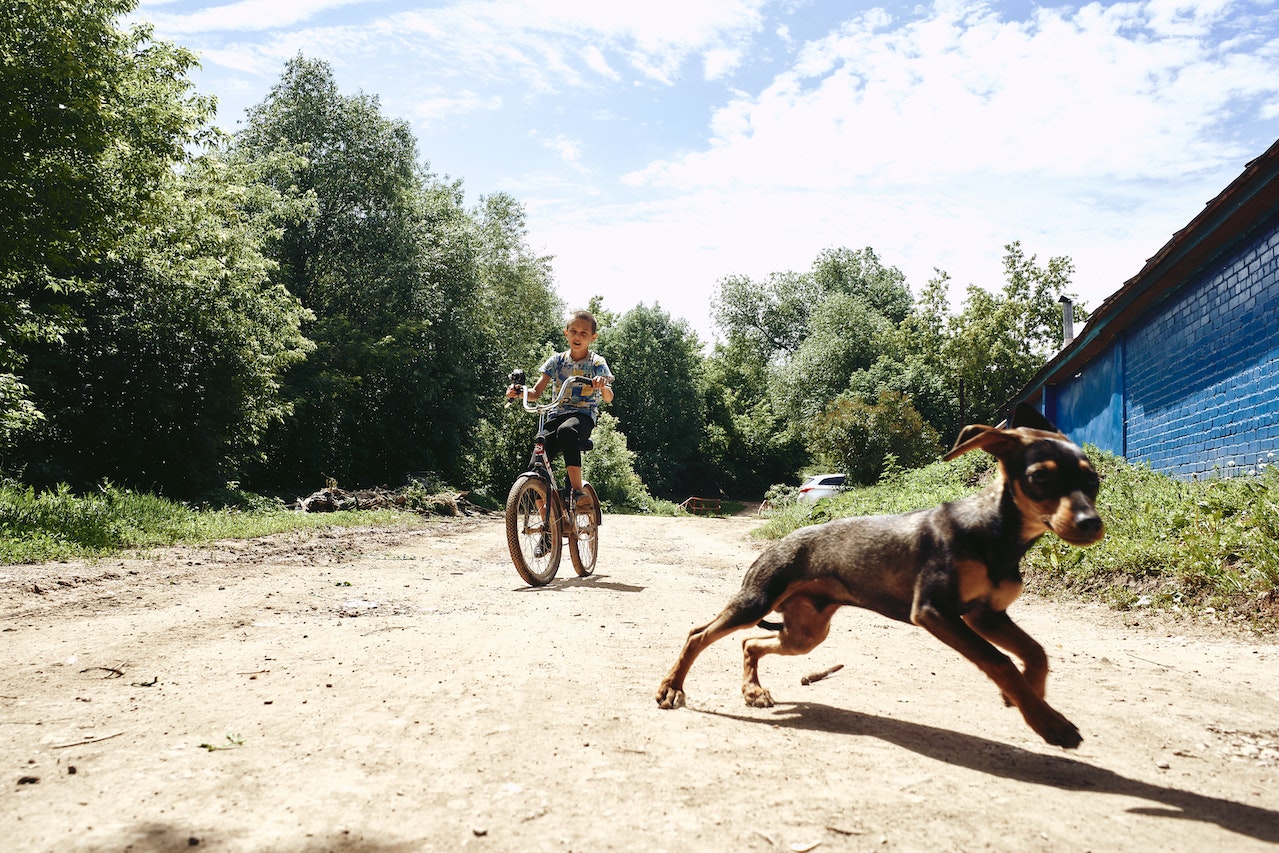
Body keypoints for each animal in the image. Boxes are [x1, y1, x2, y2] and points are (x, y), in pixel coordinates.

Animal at [654, 406, 1105, 746]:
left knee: (750, 642)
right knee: (698, 634)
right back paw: (672, 687)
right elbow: (1001, 661)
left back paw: (752, 690)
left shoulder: (985, 615)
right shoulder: (936, 611)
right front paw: (1049, 721)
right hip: (757, 601)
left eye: (1093, 479)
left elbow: (1035, 653)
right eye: (1041, 477)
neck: (993, 533)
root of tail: (778, 542)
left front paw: (1030, 698)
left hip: (807, 632)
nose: (1092, 524)